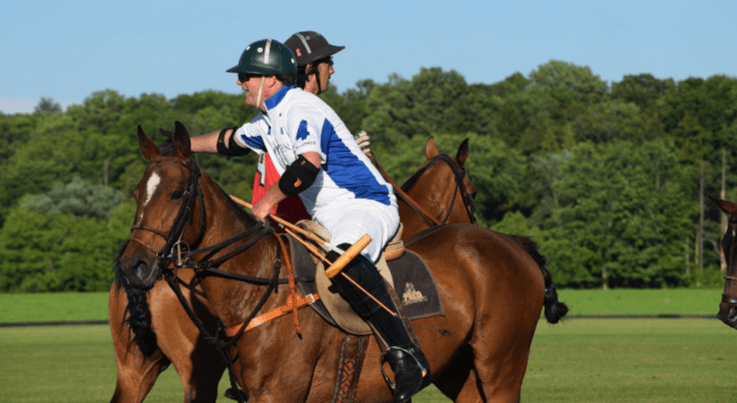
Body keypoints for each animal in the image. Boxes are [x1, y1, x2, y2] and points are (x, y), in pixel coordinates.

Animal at [115, 123, 564, 403]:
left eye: (176, 193)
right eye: (138, 192)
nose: (133, 266)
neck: (258, 282)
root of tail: (513, 245)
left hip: (501, 364)